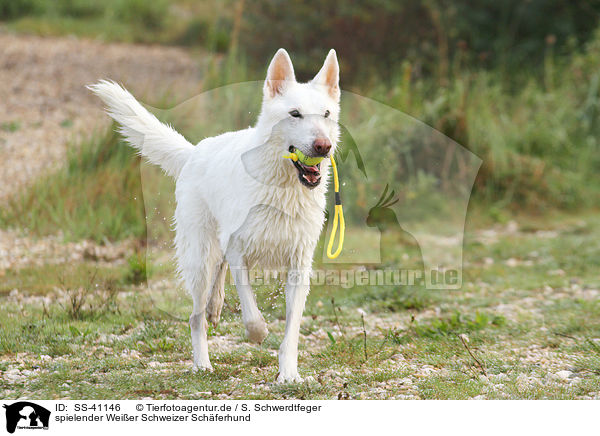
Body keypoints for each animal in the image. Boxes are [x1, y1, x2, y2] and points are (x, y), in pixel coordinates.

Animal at [90, 48, 342, 382]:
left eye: (325, 115)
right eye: (295, 114)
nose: (323, 146)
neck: (281, 187)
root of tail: (194, 152)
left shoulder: (299, 266)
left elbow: (292, 330)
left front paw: (288, 373)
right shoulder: (239, 252)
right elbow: (251, 311)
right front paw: (258, 333)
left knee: (215, 280)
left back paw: (215, 307)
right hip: (199, 260)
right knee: (195, 316)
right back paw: (202, 362)